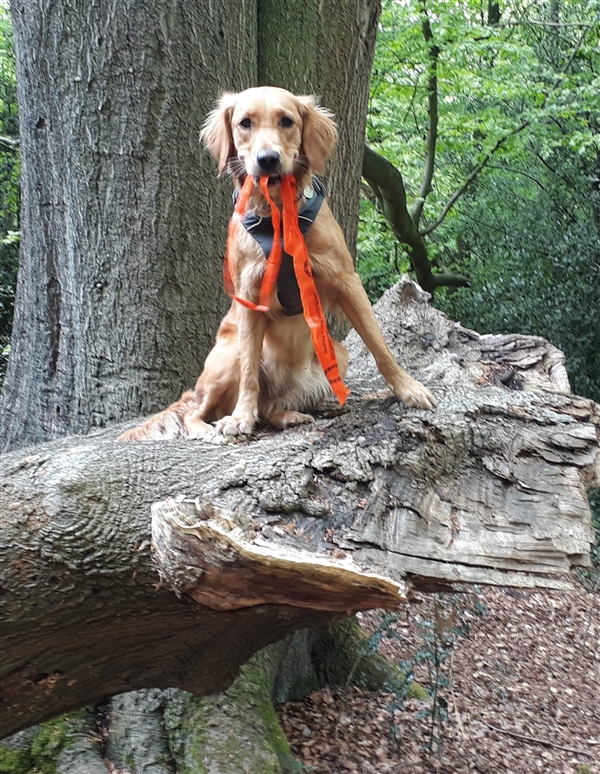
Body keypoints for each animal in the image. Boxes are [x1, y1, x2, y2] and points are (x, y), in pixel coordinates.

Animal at [118, 86, 436, 442]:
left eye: (287, 121)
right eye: (245, 123)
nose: (267, 159)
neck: (280, 215)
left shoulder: (346, 281)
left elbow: (379, 345)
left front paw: (408, 389)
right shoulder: (249, 296)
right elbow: (248, 374)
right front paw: (240, 417)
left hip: (336, 353)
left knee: (270, 409)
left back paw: (290, 415)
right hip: (228, 354)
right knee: (197, 411)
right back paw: (212, 428)